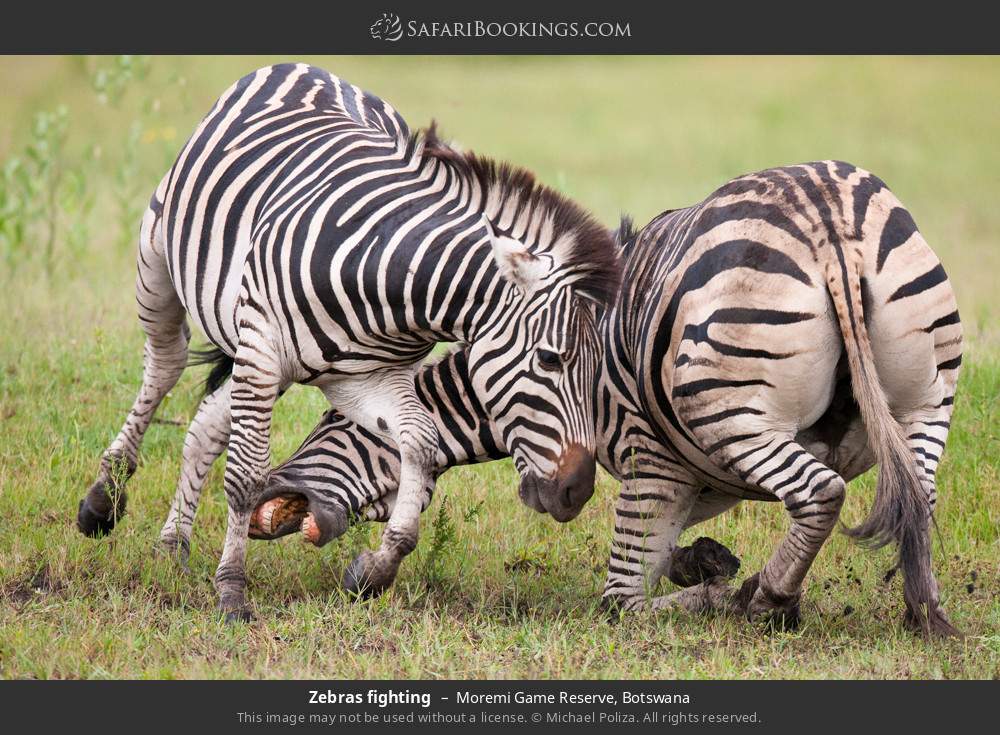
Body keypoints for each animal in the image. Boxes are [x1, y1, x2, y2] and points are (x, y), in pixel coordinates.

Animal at [77, 63, 620, 622]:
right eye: (550, 359)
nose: (579, 490)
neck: (396, 291)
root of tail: (310, 68)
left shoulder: (364, 379)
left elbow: (420, 446)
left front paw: (377, 569)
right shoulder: (263, 349)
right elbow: (246, 477)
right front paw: (231, 591)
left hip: (259, 355)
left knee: (207, 421)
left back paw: (173, 546)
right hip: (161, 261)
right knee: (166, 364)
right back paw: (104, 499)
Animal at [235, 161, 962, 635]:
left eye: (327, 426)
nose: (256, 500)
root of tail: (822, 205)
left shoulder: (653, 460)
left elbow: (624, 598)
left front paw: (725, 592)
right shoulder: (692, 469)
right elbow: (675, 549)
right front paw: (708, 563)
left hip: (726, 408)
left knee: (820, 492)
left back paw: (768, 599)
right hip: (923, 402)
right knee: (918, 502)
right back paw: (922, 613)